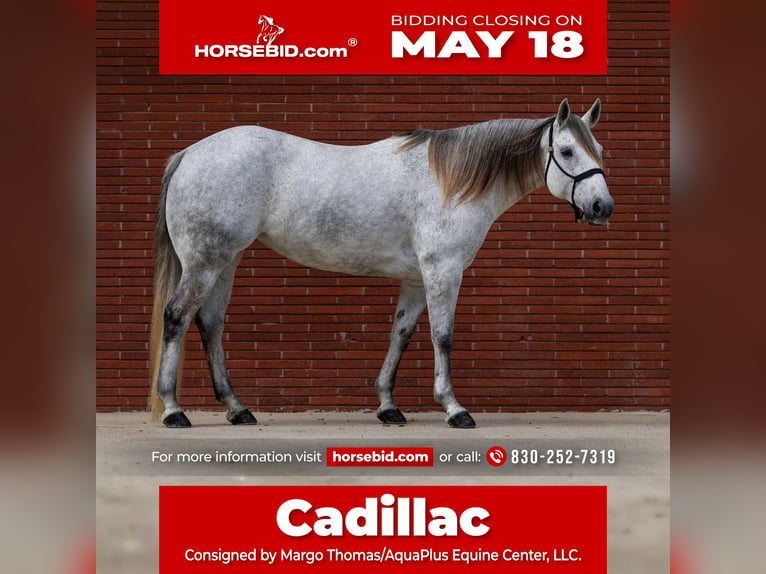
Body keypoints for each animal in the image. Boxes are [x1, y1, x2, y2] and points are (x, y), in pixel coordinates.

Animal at [149, 98, 612, 428]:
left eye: (599, 149)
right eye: (566, 151)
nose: (602, 207)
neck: (451, 183)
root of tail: (190, 154)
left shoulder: (416, 279)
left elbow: (400, 336)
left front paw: (388, 405)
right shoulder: (443, 271)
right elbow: (443, 337)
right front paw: (454, 409)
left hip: (225, 261)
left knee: (210, 323)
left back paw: (237, 408)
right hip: (204, 262)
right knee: (177, 317)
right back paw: (173, 410)